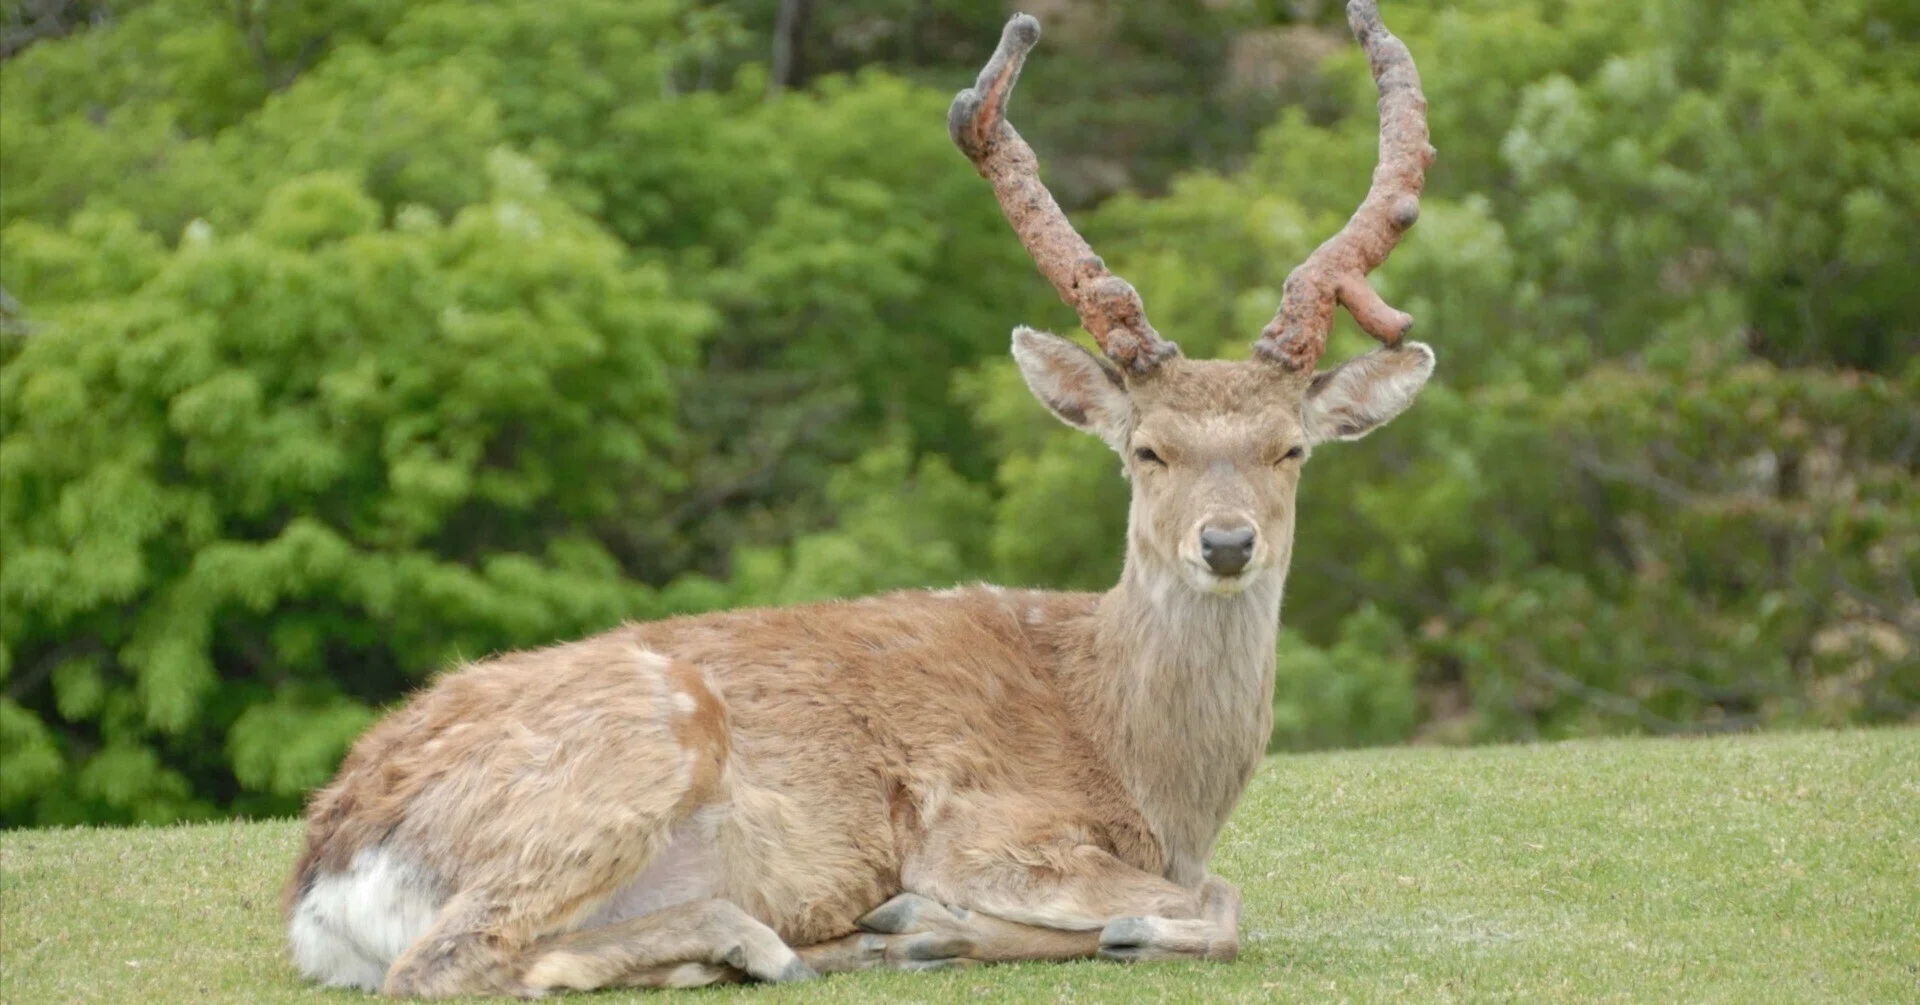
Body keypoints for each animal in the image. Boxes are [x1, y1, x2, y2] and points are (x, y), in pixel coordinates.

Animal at [284, 1, 1436, 996]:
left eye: (1291, 448)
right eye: (1147, 450)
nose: (1229, 542)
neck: (1146, 775)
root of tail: (319, 886)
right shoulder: (985, 824)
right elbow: (1218, 906)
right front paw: (965, 921)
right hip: (638, 751)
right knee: (457, 959)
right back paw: (810, 935)